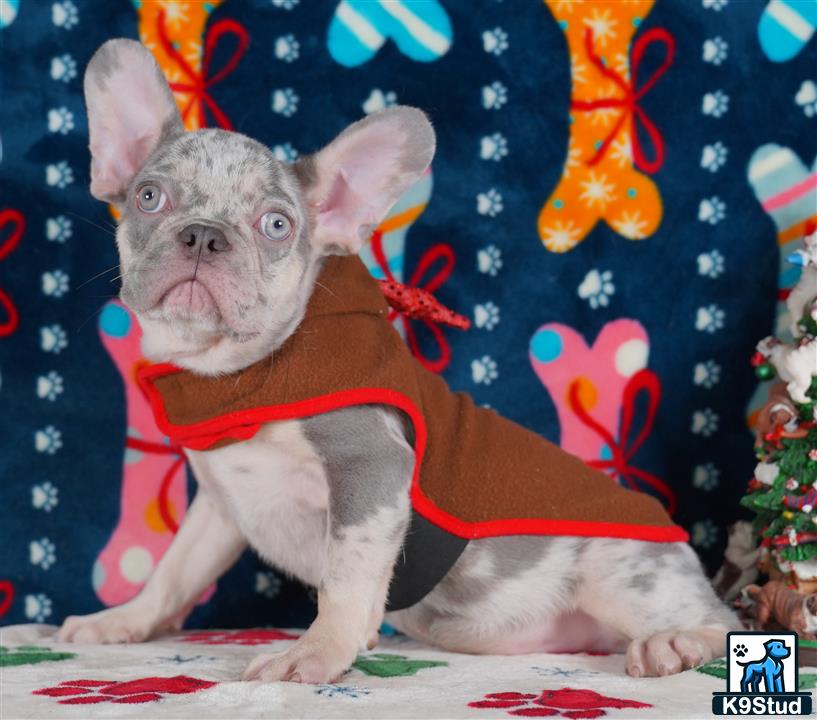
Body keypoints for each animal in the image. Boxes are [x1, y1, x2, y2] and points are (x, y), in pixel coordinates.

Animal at [59, 39, 732, 680]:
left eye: (276, 225)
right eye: (149, 197)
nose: (203, 235)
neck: (239, 374)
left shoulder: (369, 463)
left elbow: (346, 574)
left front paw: (318, 652)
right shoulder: (222, 508)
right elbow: (174, 571)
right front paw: (123, 619)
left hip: (620, 573)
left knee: (721, 621)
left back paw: (674, 642)